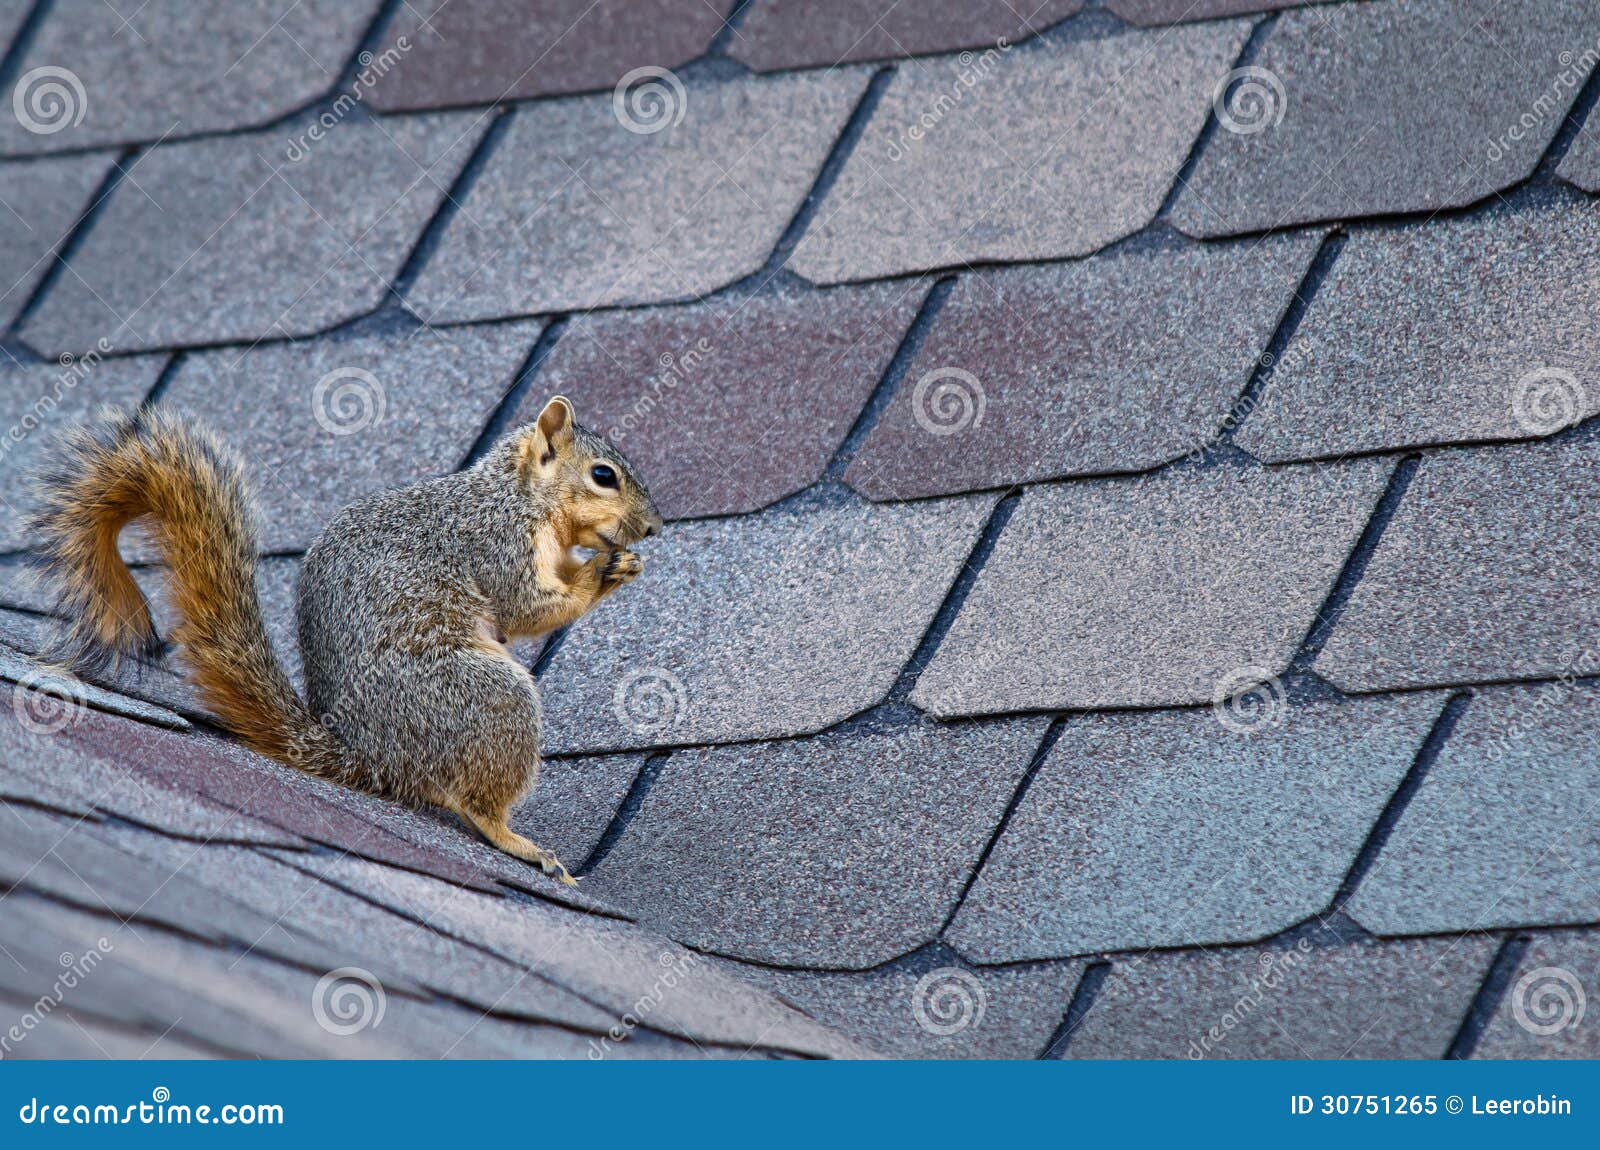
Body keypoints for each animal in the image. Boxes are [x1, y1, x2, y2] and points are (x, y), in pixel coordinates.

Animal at [30, 396, 661, 885]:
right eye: (604, 475)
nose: (655, 527)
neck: (520, 496)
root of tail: (366, 755)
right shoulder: (495, 543)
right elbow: (526, 606)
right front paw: (601, 573)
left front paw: (616, 563)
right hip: (485, 695)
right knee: (476, 802)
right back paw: (519, 842)